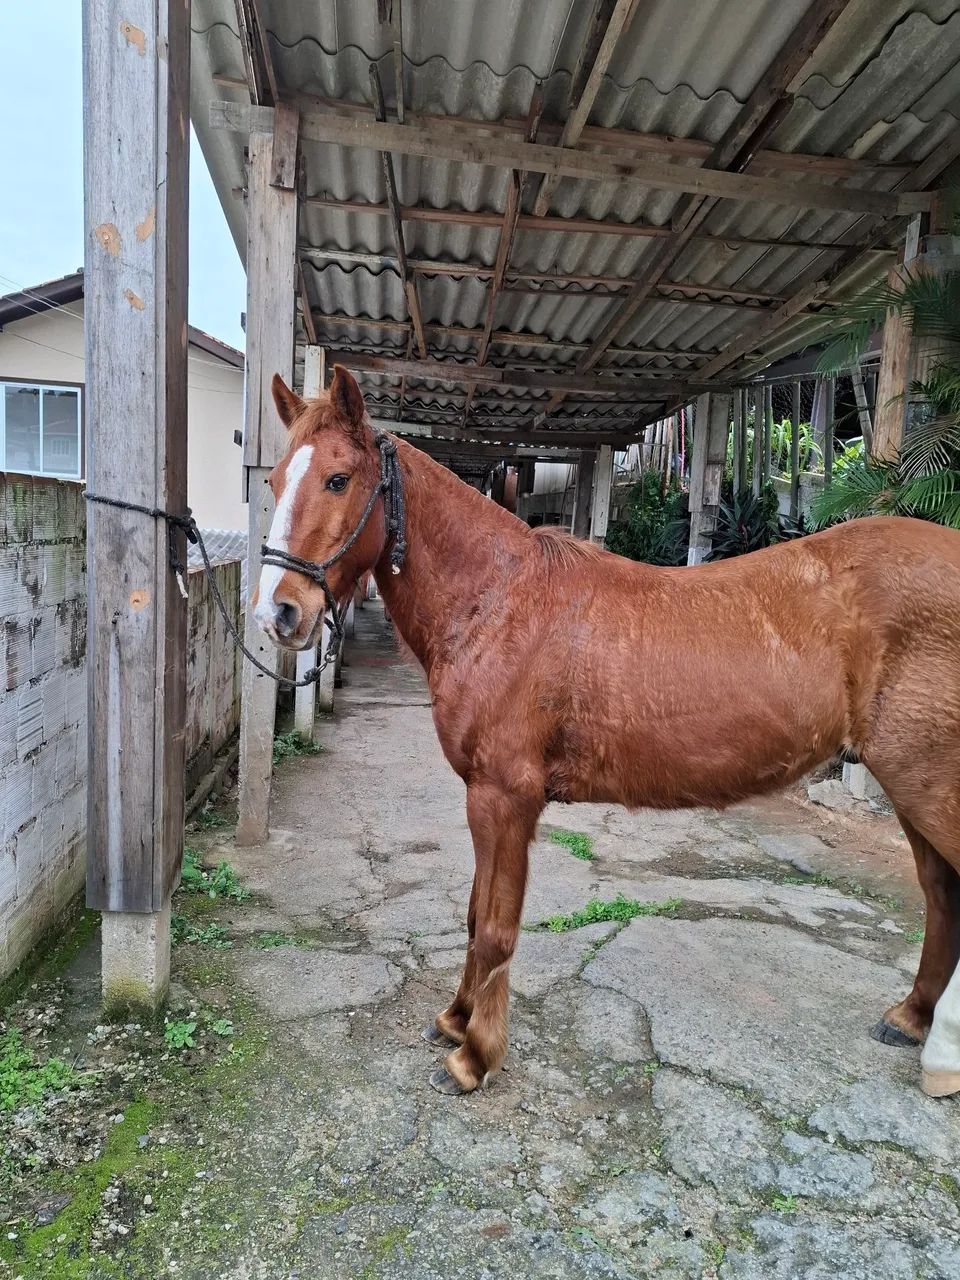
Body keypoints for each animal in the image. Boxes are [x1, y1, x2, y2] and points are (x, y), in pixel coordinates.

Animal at [253, 365, 960, 1100]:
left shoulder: (505, 798)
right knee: (943, 897)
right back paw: (910, 1018)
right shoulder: (487, 797)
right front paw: (455, 1019)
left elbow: (495, 927)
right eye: (273, 481)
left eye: (338, 479)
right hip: (914, 789)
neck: (499, 603)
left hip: (928, 785)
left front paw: (476, 1054)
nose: (277, 613)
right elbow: (475, 913)